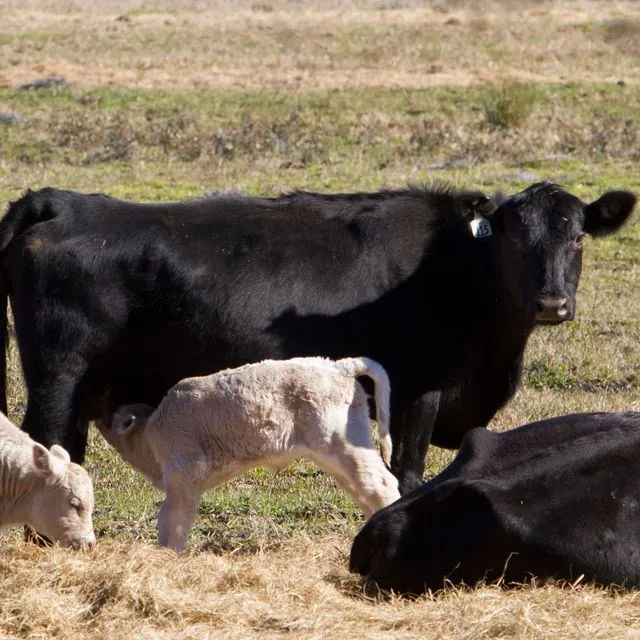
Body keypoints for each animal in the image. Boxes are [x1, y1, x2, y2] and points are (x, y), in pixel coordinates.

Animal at [0, 182, 632, 492]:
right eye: (513, 238)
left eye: (577, 237)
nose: (552, 303)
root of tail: (62, 202)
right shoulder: (416, 391)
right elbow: (408, 473)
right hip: (58, 383)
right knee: (47, 449)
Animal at [99, 356, 400, 552]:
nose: (98, 415)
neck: (151, 434)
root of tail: (338, 365)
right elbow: (167, 518)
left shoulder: (182, 477)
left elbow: (174, 521)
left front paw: (169, 554)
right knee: (365, 489)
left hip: (340, 443)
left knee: (382, 484)